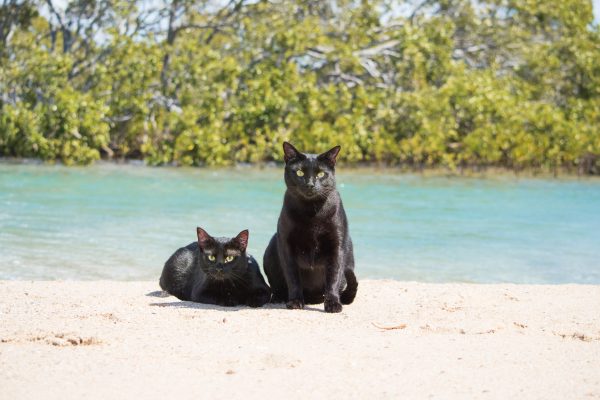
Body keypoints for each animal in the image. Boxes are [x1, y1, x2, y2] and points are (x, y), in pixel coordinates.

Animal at [262, 142, 356, 314]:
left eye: (321, 174)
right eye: (299, 172)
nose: (310, 184)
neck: (311, 212)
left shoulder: (337, 245)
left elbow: (333, 276)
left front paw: (333, 304)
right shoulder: (286, 244)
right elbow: (293, 277)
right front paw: (295, 302)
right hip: (272, 246)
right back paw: (278, 298)